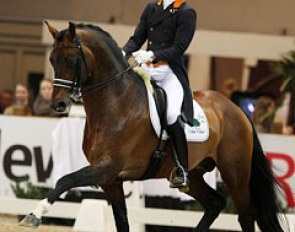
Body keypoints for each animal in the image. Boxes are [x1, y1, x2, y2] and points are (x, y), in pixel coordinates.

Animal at [20, 21, 286, 232]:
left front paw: (34, 214)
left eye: (71, 59)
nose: (58, 104)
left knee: (245, 215)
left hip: (235, 172)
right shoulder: (111, 180)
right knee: (215, 203)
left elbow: (65, 180)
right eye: (51, 59)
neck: (116, 103)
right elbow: (122, 222)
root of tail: (235, 108)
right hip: (194, 174)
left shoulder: (107, 168)